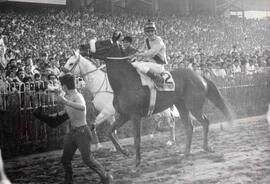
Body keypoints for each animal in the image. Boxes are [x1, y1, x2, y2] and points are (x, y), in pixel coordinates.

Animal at [80, 38, 234, 168]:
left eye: (102, 42)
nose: (82, 46)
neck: (124, 82)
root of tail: (199, 75)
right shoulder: (124, 115)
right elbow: (110, 132)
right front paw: (124, 151)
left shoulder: (135, 116)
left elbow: (137, 139)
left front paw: (137, 162)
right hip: (182, 106)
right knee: (189, 127)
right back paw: (186, 153)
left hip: (194, 106)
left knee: (204, 122)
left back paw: (205, 147)